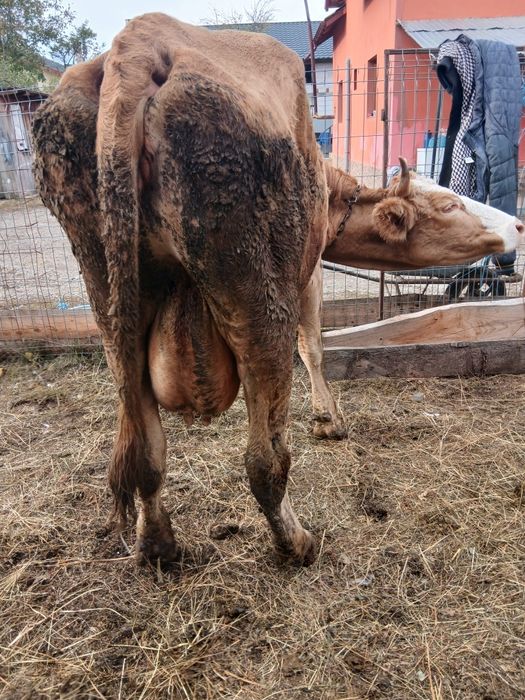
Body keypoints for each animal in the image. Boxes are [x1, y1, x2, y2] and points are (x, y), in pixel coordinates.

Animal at [32, 13, 523, 567]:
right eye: (447, 205)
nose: (517, 225)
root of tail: (140, 43)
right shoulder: (305, 276)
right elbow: (314, 347)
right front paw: (329, 420)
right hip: (259, 298)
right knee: (263, 460)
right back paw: (297, 542)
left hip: (111, 303)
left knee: (145, 453)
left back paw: (157, 545)